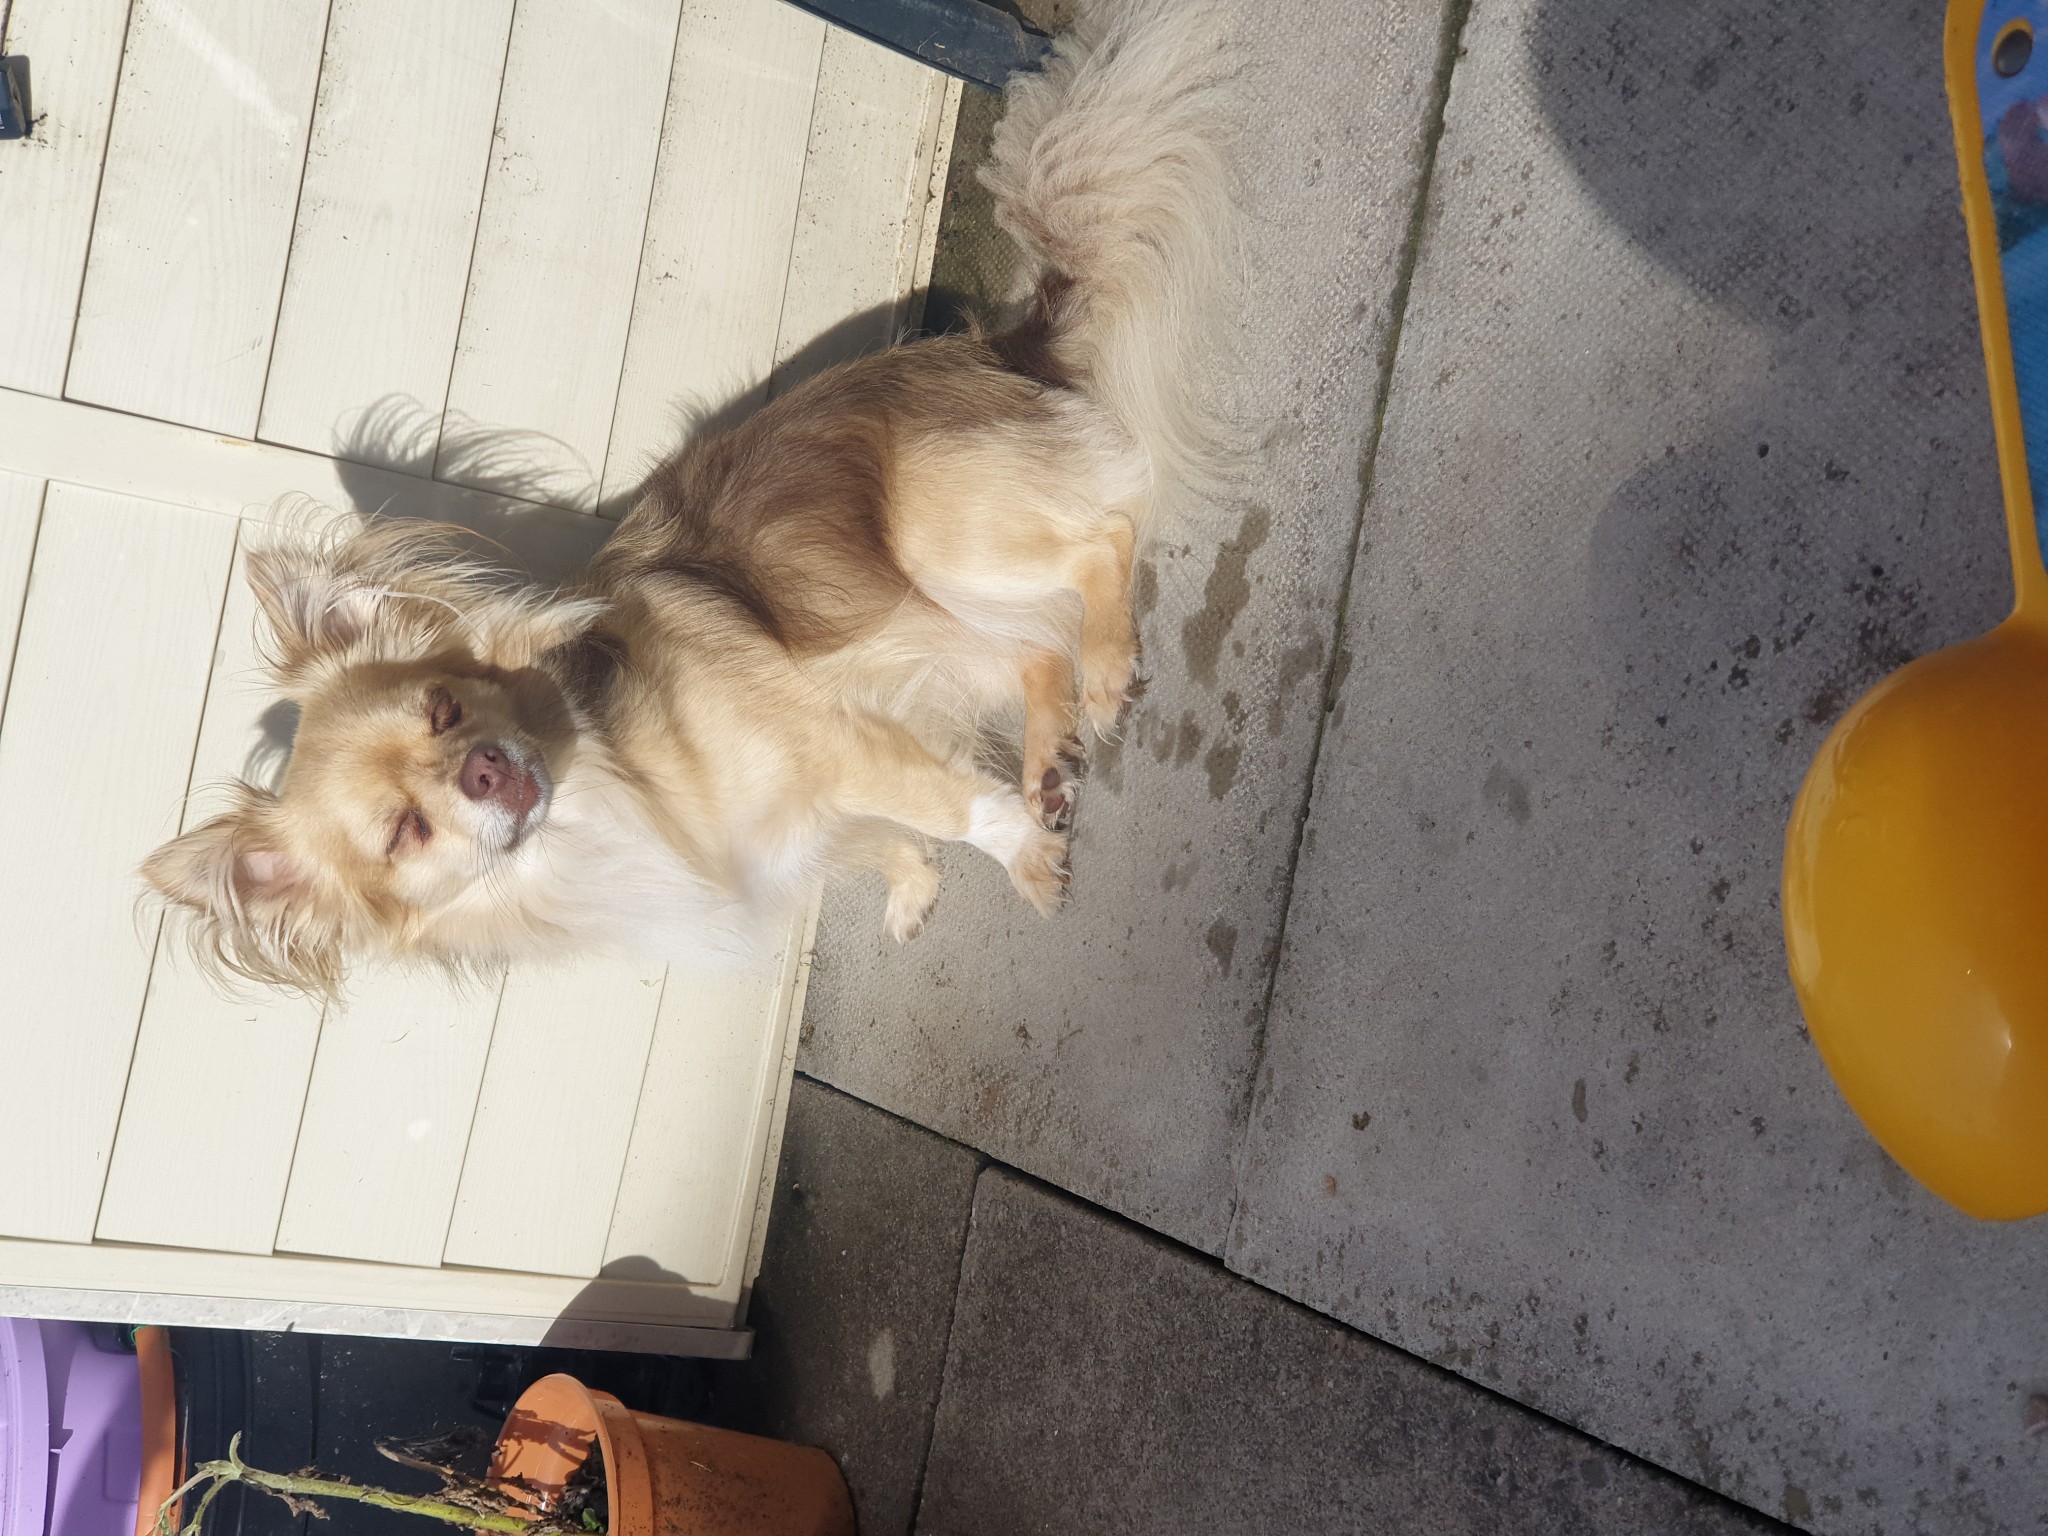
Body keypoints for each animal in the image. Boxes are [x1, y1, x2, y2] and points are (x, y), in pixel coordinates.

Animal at [142, 0, 1235, 997]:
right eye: (403, 832)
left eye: (447, 707)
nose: (484, 771)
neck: (600, 787)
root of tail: (994, 343)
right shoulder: (817, 810)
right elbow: (889, 837)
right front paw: (916, 881)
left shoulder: (843, 746)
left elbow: (956, 808)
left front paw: (1019, 857)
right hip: (937, 603)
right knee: (1028, 649)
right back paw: (1050, 751)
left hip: (947, 537)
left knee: (1102, 538)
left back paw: (1104, 673)